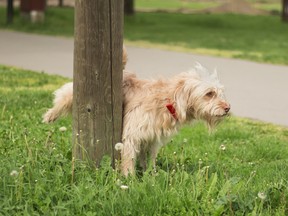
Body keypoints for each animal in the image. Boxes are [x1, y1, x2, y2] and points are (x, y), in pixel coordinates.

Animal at [42, 52, 231, 176]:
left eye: (220, 93)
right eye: (209, 94)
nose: (228, 108)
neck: (167, 101)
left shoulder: (152, 140)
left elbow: (149, 159)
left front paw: (151, 175)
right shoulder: (131, 136)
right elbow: (129, 160)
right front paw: (128, 179)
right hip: (72, 94)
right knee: (61, 97)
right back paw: (50, 116)